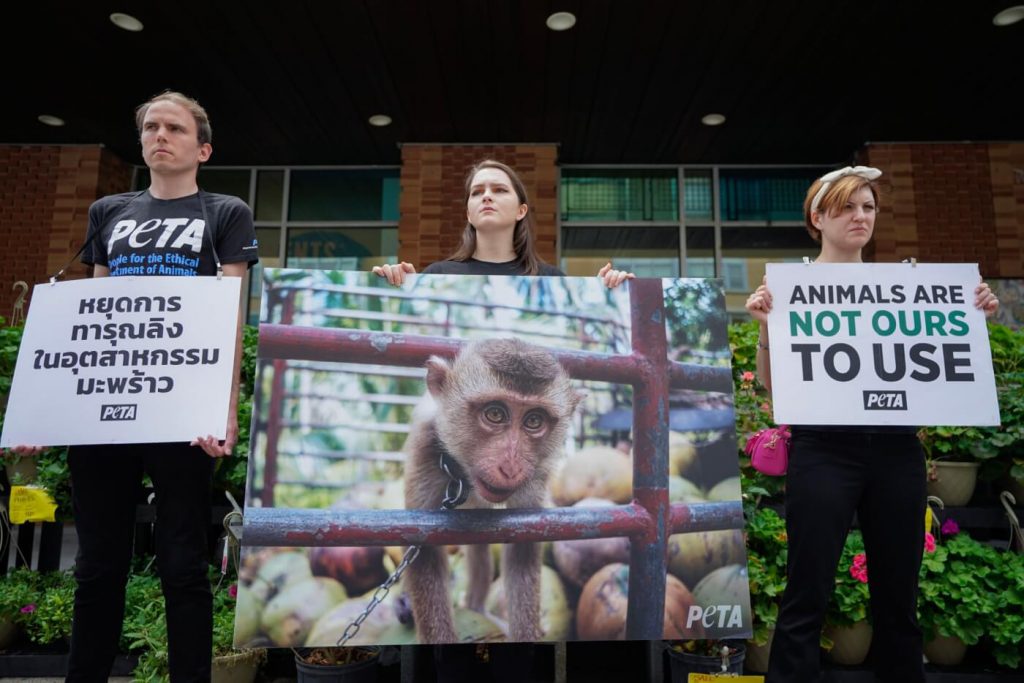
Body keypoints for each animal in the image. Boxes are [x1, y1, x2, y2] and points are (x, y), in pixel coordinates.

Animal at [401, 339, 585, 643]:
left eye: (534, 421)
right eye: (495, 414)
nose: (510, 467)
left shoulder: (535, 475)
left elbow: (523, 549)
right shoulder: (425, 448)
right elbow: (424, 551)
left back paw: (476, 607)